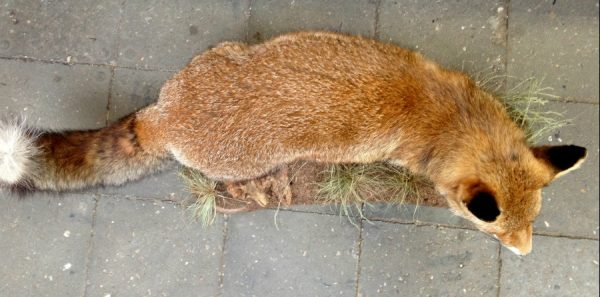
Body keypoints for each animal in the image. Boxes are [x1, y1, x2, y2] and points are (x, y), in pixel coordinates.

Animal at [0, 31, 584, 254]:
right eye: (497, 233)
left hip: (224, 52)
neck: (452, 121)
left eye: (533, 221)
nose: (526, 252)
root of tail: (162, 119)